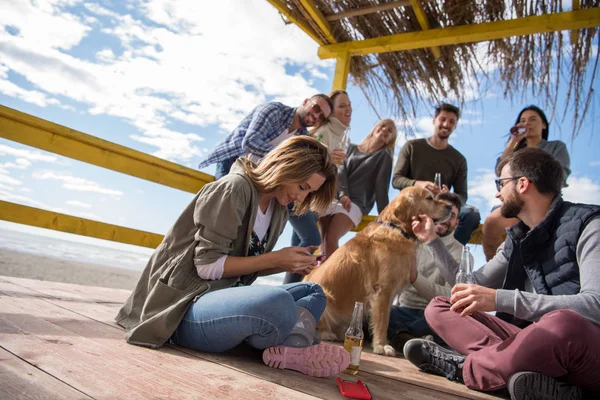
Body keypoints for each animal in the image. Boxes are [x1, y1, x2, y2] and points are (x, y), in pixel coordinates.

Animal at [304, 188, 450, 356]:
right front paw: (381, 345)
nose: (450, 207)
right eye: (429, 198)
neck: (396, 228)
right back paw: (327, 333)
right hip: (324, 295)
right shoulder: (383, 290)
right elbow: (382, 321)